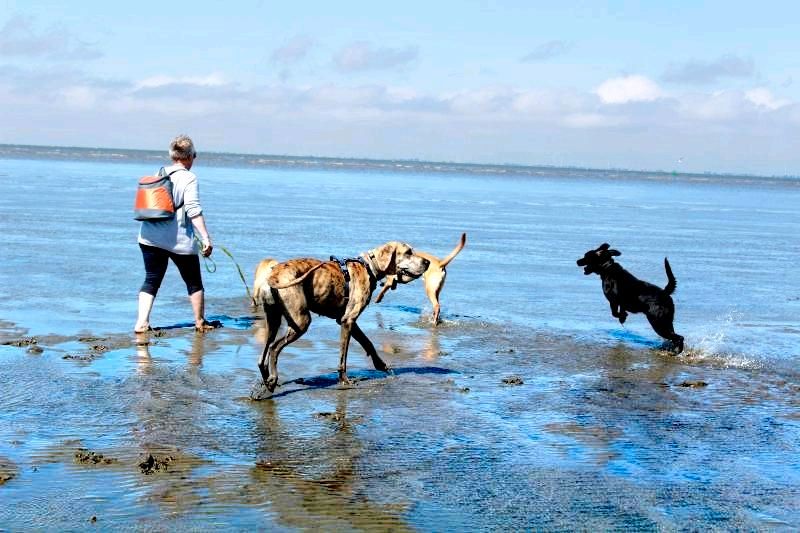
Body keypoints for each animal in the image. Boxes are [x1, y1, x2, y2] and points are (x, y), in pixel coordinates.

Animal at [260, 241, 428, 390]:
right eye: (408, 252)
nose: (427, 262)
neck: (369, 267)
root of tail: (273, 276)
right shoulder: (347, 321)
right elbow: (343, 357)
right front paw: (344, 380)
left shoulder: (349, 321)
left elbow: (368, 343)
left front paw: (382, 365)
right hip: (301, 321)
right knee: (274, 348)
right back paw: (273, 379)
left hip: (273, 320)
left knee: (263, 357)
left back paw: (267, 380)